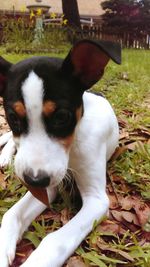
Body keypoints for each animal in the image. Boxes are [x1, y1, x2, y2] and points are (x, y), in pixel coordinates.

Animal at [0, 40, 120, 267]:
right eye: (12, 117)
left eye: (62, 117)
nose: (34, 180)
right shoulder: (47, 184)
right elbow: (11, 215)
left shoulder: (96, 199)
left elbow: (55, 241)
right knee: (10, 137)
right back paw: (4, 156)